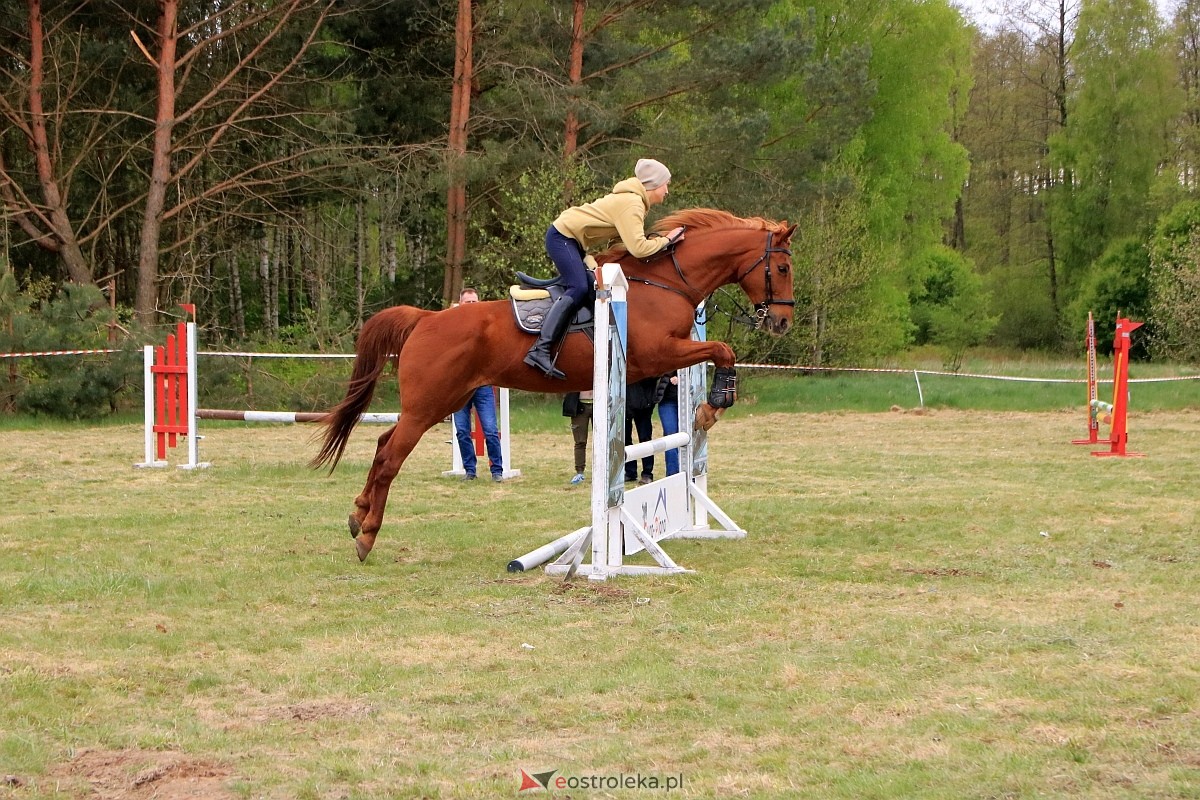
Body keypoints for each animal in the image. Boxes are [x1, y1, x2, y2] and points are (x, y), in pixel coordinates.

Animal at [314, 212, 792, 563]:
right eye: (783, 267)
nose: (783, 321)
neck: (664, 282)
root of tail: (425, 318)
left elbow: (713, 355)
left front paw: (708, 409)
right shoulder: (657, 354)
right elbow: (723, 349)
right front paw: (714, 404)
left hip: (442, 401)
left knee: (382, 444)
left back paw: (358, 515)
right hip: (429, 405)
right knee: (390, 456)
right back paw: (367, 535)